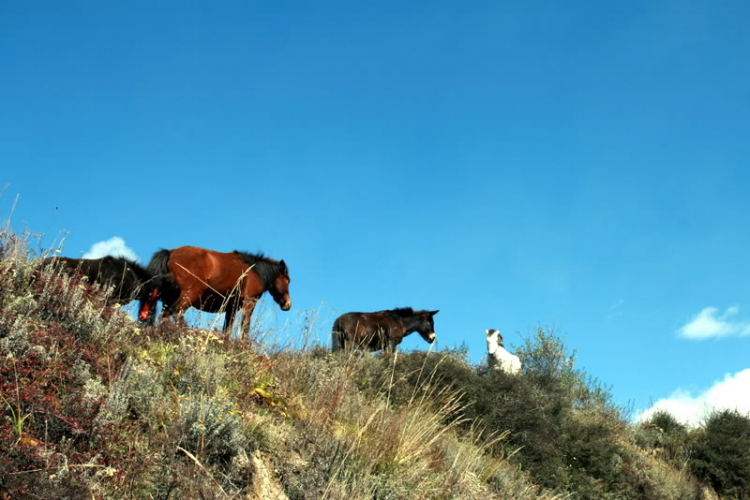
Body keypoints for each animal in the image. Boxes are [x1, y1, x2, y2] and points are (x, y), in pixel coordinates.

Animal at [142, 244, 292, 338]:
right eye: (287, 281)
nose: (287, 304)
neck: (254, 271)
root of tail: (170, 253)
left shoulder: (231, 308)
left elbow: (227, 330)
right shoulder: (250, 302)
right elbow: (245, 327)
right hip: (189, 295)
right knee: (173, 313)